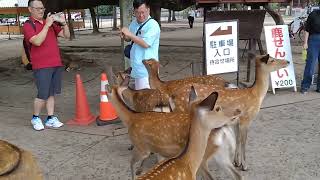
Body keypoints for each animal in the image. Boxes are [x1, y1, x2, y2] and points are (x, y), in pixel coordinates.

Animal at [143, 53, 290, 172]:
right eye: (272, 59)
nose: (287, 61)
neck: (255, 95)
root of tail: (172, 97)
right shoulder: (246, 119)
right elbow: (243, 142)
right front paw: (244, 166)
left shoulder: (236, 121)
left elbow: (237, 140)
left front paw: (236, 162)